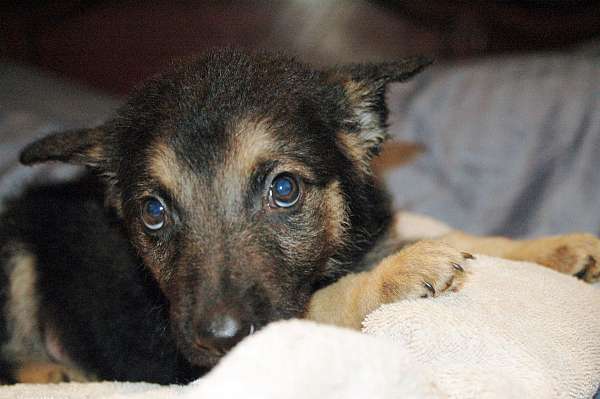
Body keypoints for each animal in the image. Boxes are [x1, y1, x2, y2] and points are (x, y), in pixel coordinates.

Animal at [1, 48, 600, 386]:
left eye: (284, 190)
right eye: (153, 212)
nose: (218, 337)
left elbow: (463, 232)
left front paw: (555, 247)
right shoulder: (181, 358)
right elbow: (326, 301)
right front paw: (397, 274)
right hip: (14, 249)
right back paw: (50, 371)